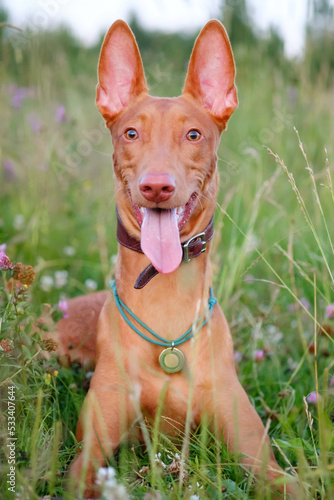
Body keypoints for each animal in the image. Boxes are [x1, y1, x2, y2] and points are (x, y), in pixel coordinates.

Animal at [55, 18, 298, 496]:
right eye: (131, 134)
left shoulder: (259, 457)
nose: (156, 186)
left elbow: (296, 484)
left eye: (193, 134)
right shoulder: (89, 456)